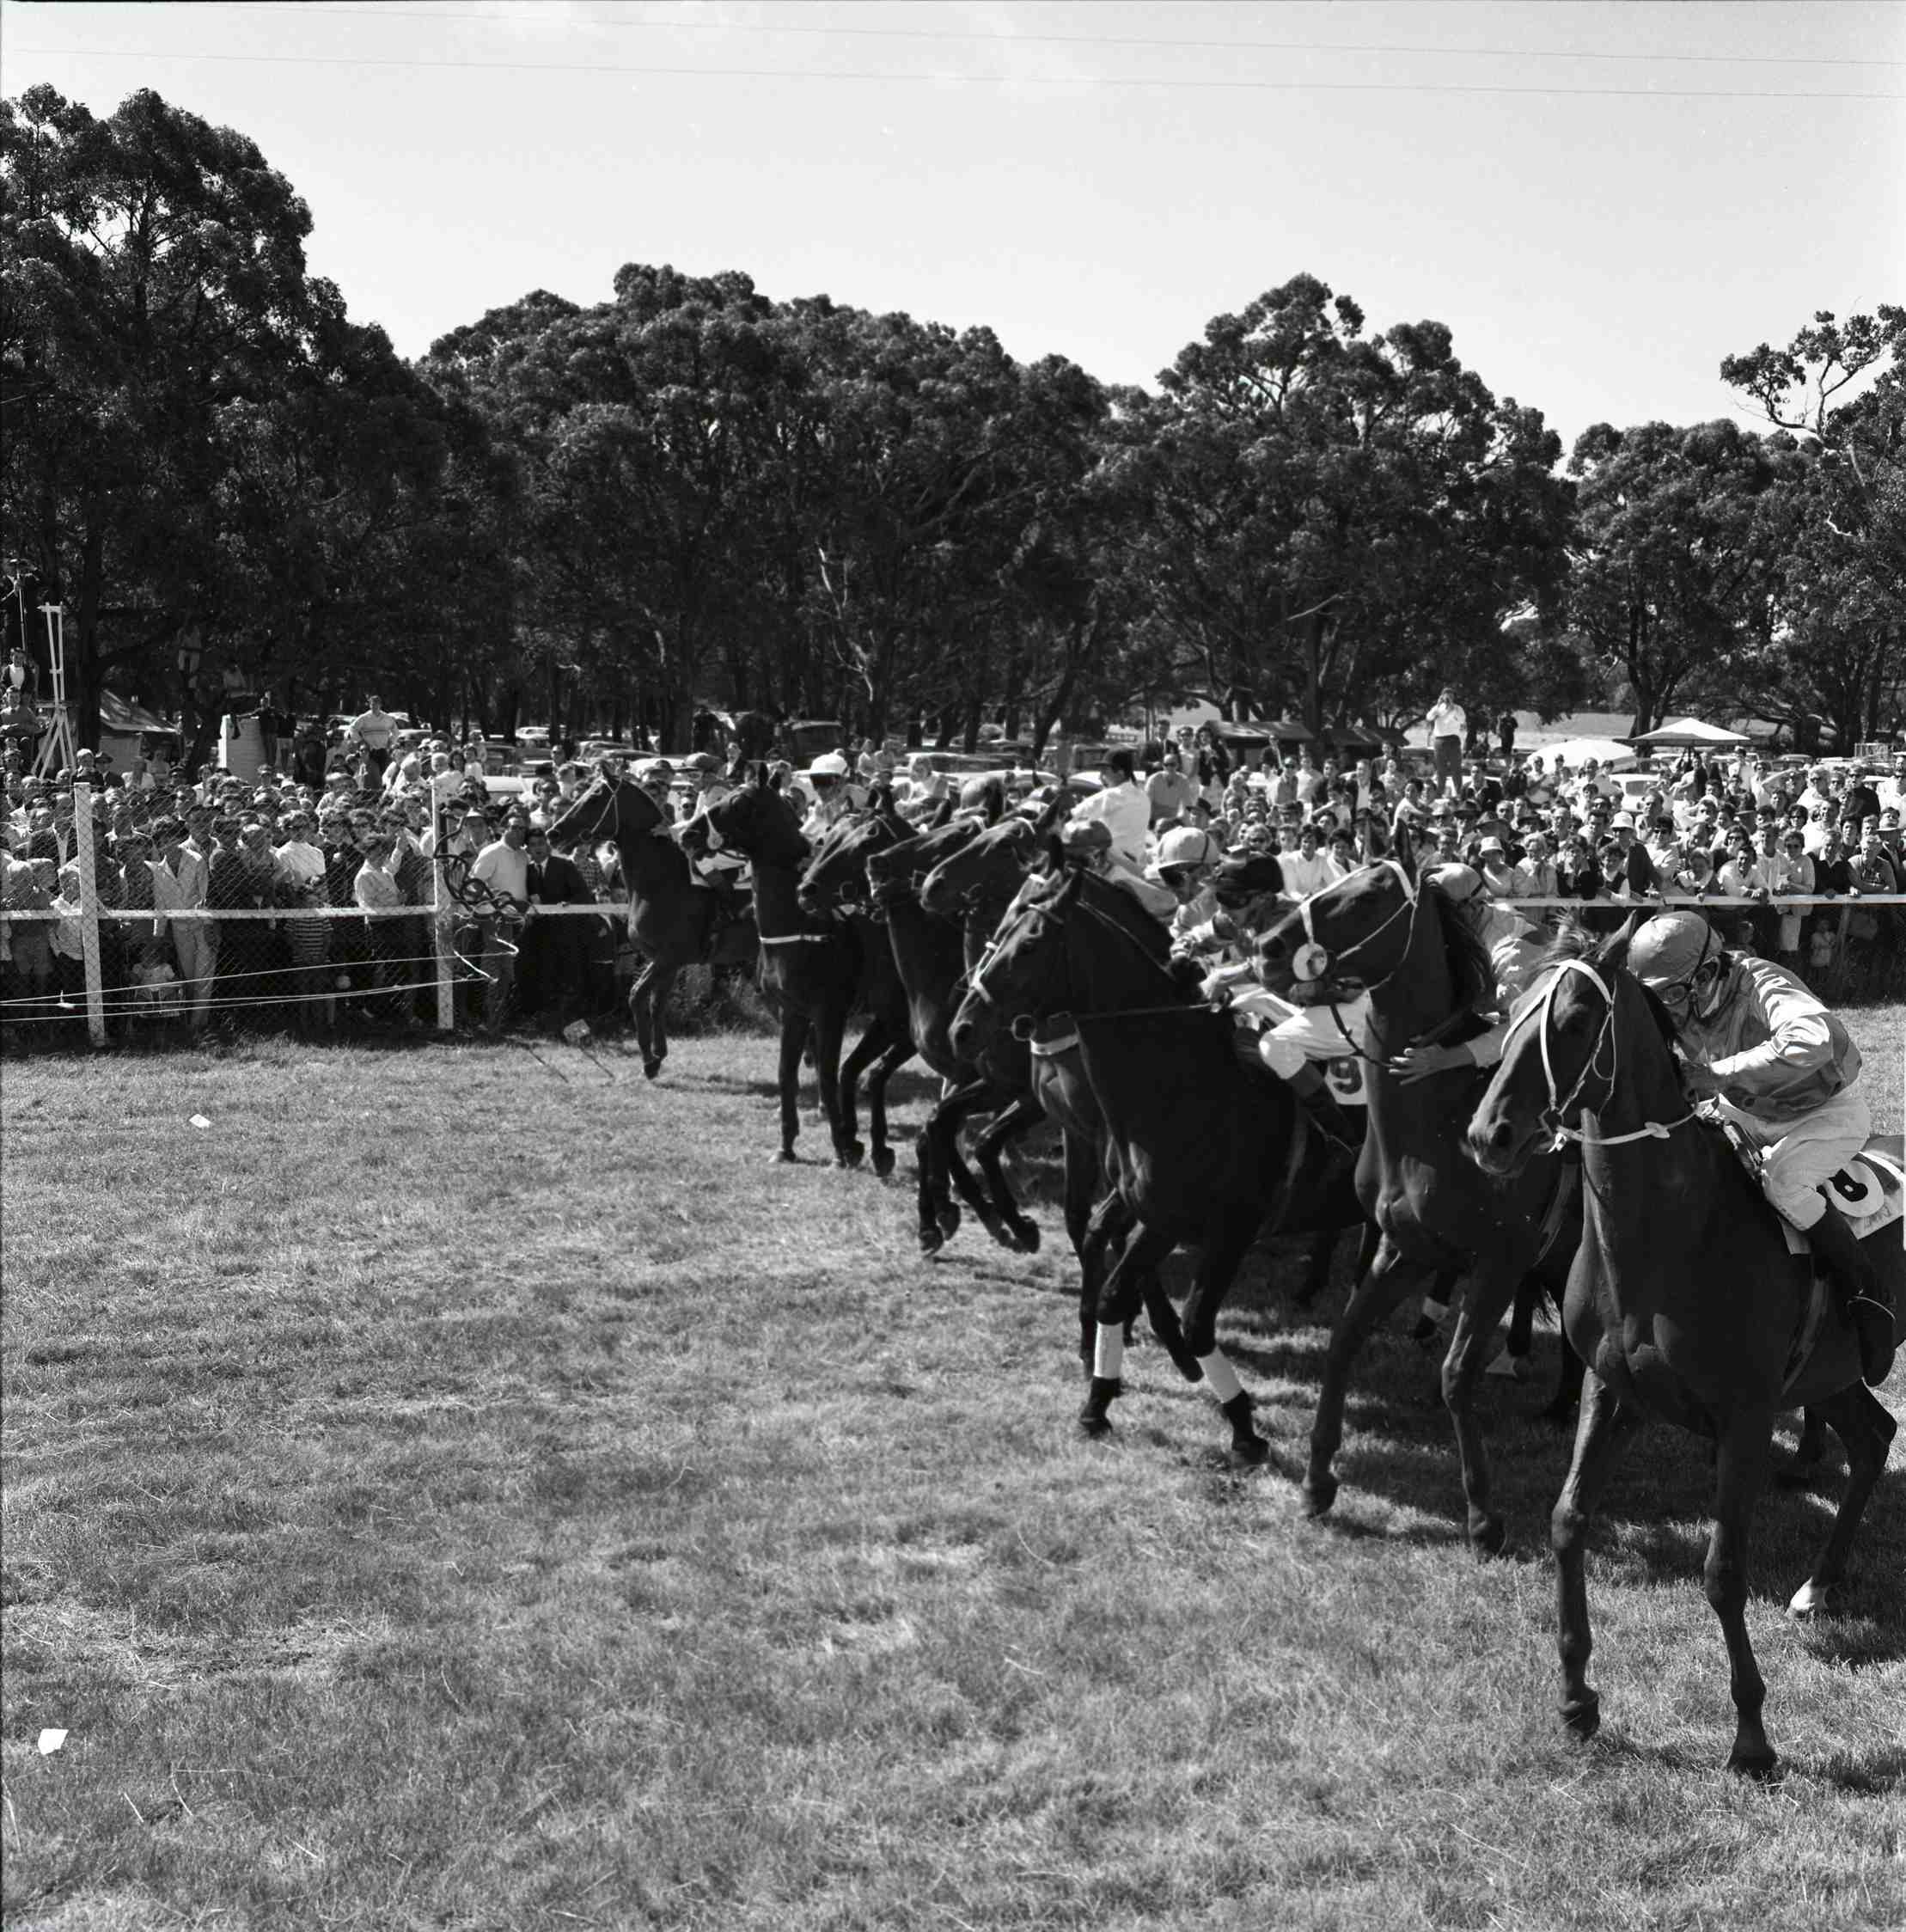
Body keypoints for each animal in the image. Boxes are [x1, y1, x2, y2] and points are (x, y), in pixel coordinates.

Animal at [545, 771, 756, 1078]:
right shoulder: (664, 961)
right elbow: (656, 1003)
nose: (553, 833)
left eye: (595, 797)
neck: (663, 878)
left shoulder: (669, 957)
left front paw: (648, 1058)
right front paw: (657, 1056)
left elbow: (636, 996)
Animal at [951, 859, 1368, 1462]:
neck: (1187, 1084)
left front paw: (1241, 1423)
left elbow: (1195, 1323)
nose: (961, 1029)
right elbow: (1110, 1285)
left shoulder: (1230, 1229)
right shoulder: (1156, 1212)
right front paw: (1098, 1400)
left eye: (1028, 942)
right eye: (1003, 923)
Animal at [1253, 855, 1581, 1551]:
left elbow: (1457, 1375)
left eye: (1369, 896)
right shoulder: (1409, 1248)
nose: (1267, 946)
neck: (1443, 1123)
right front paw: (1318, 1481)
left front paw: (1483, 1516)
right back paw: (1560, 1405)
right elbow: (1344, 1337)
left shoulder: (1498, 1261)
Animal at [1465, 926, 1902, 1774]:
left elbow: (1723, 1571)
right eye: (1509, 1009)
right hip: (1830, 1372)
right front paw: (1577, 1699)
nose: (1487, 1136)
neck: (1671, 1237)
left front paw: (1753, 1737)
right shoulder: (1612, 1390)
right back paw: (1817, 1587)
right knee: (1873, 1437)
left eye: (1573, 1021)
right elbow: (1567, 1520)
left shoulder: (1745, 1415)